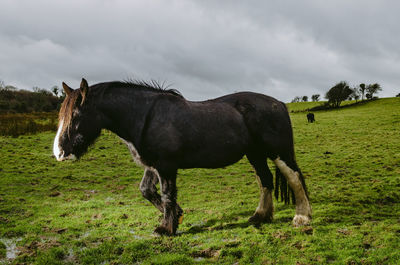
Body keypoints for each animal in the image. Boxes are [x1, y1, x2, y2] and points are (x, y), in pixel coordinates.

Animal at [51, 77, 310, 234]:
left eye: (76, 115)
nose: (60, 153)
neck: (145, 116)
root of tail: (279, 103)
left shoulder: (166, 166)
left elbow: (167, 194)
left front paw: (167, 228)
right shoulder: (153, 165)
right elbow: (147, 191)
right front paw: (177, 216)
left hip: (279, 152)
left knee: (295, 177)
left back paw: (302, 218)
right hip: (255, 154)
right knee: (265, 180)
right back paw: (260, 216)